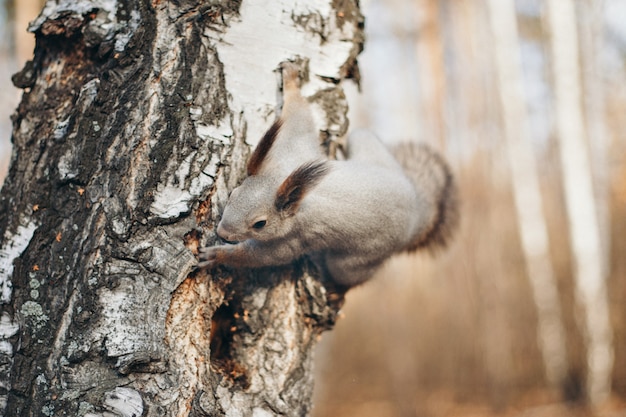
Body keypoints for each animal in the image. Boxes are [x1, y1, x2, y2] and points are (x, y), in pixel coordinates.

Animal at [197, 63, 456, 288]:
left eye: (260, 224)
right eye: (233, 194)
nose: (222, 232)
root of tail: (417, 210)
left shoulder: (294, 237)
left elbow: (262, 257)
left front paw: (218, 255)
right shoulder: (293, 148)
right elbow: (298, 116)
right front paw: (290, 78)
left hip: (358, 259)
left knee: (348, 276)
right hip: (367, 144)